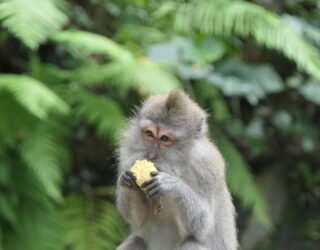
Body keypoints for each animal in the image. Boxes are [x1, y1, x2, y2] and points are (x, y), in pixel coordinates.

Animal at [115, 92, 238, 250]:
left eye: (165, 138)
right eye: (149, 133)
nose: (151, 156)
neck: (177, 164)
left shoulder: (207, 167)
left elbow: (202, 226)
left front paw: (172, 185)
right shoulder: (128, 151)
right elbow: (139, 219)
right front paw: (129, 181)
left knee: (192, 243)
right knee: (137, 240)